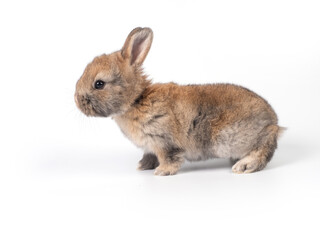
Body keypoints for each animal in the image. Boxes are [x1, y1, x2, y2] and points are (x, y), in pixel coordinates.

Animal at [75, 26, 284, 176]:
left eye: (99, 84)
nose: (77, 101)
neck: (136, 99)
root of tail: (273, 121)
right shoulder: (150, 147)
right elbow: (149, 156)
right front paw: (143, 166)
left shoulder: (163, 141)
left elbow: (169, 158)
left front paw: (161, 172)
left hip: (231, 138)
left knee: (265, 147)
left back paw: (245, 165)